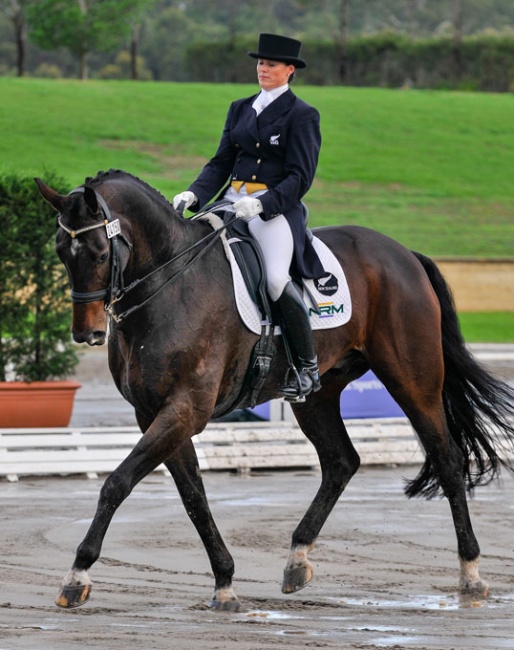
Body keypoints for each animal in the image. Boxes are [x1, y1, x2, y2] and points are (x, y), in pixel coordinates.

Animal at [36, 171, 512, 608]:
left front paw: (77, 575)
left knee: (447, 458)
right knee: (341, 461)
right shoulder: (154, 413)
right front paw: (225, 582)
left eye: (100, 252)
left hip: (413, 378)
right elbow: (193, 496)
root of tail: (403, 253)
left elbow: (117, 483)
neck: (170, 283)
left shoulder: (186, 408)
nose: (87, 333)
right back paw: (297, 560)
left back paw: (471, 575)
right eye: (60, 251)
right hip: (318, 394)